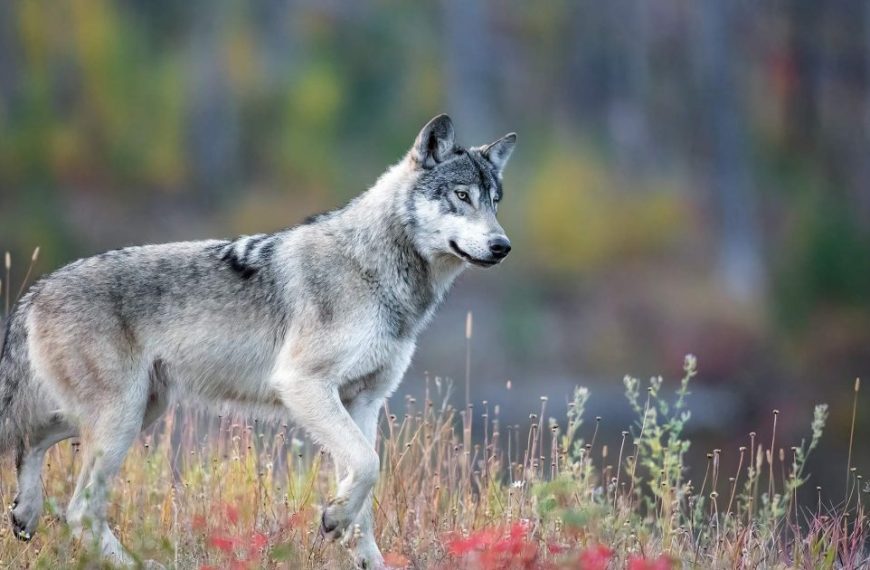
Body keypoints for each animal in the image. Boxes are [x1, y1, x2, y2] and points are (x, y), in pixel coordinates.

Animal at [0, 114, 515, 568]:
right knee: (79, 508)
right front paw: (334, 518)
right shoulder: (304, 385)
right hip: (122, 418)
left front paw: (362, 551)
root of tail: (36, 292)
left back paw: (25, 513)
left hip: (138, 411)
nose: (502, 246)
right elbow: (368, 465)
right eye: (462, 196)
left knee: (31, 443)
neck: (373, 269)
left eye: (494, 200)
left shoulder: (364, 402)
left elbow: (364, 485)